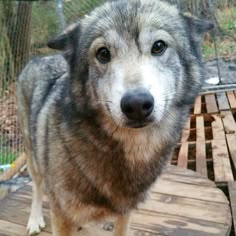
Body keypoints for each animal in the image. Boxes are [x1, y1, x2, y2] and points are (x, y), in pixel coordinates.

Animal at [16, 0, 212, 235]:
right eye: (103, 53)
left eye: (158, 46)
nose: (136, 104)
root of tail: (38, 58)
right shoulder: (61, 214)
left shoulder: (125, 211)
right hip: (33, 157)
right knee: (37, 188)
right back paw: (34, 220)